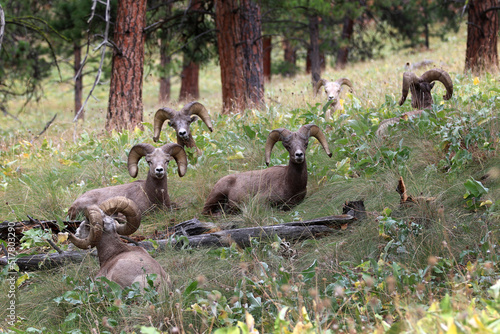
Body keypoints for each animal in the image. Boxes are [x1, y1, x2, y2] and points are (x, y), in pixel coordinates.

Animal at [201, 124, 330, 215]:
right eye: (287, 146)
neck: (289, 185)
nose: (299, 155)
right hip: (216, 195)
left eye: (306, 143)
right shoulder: (261, 201)